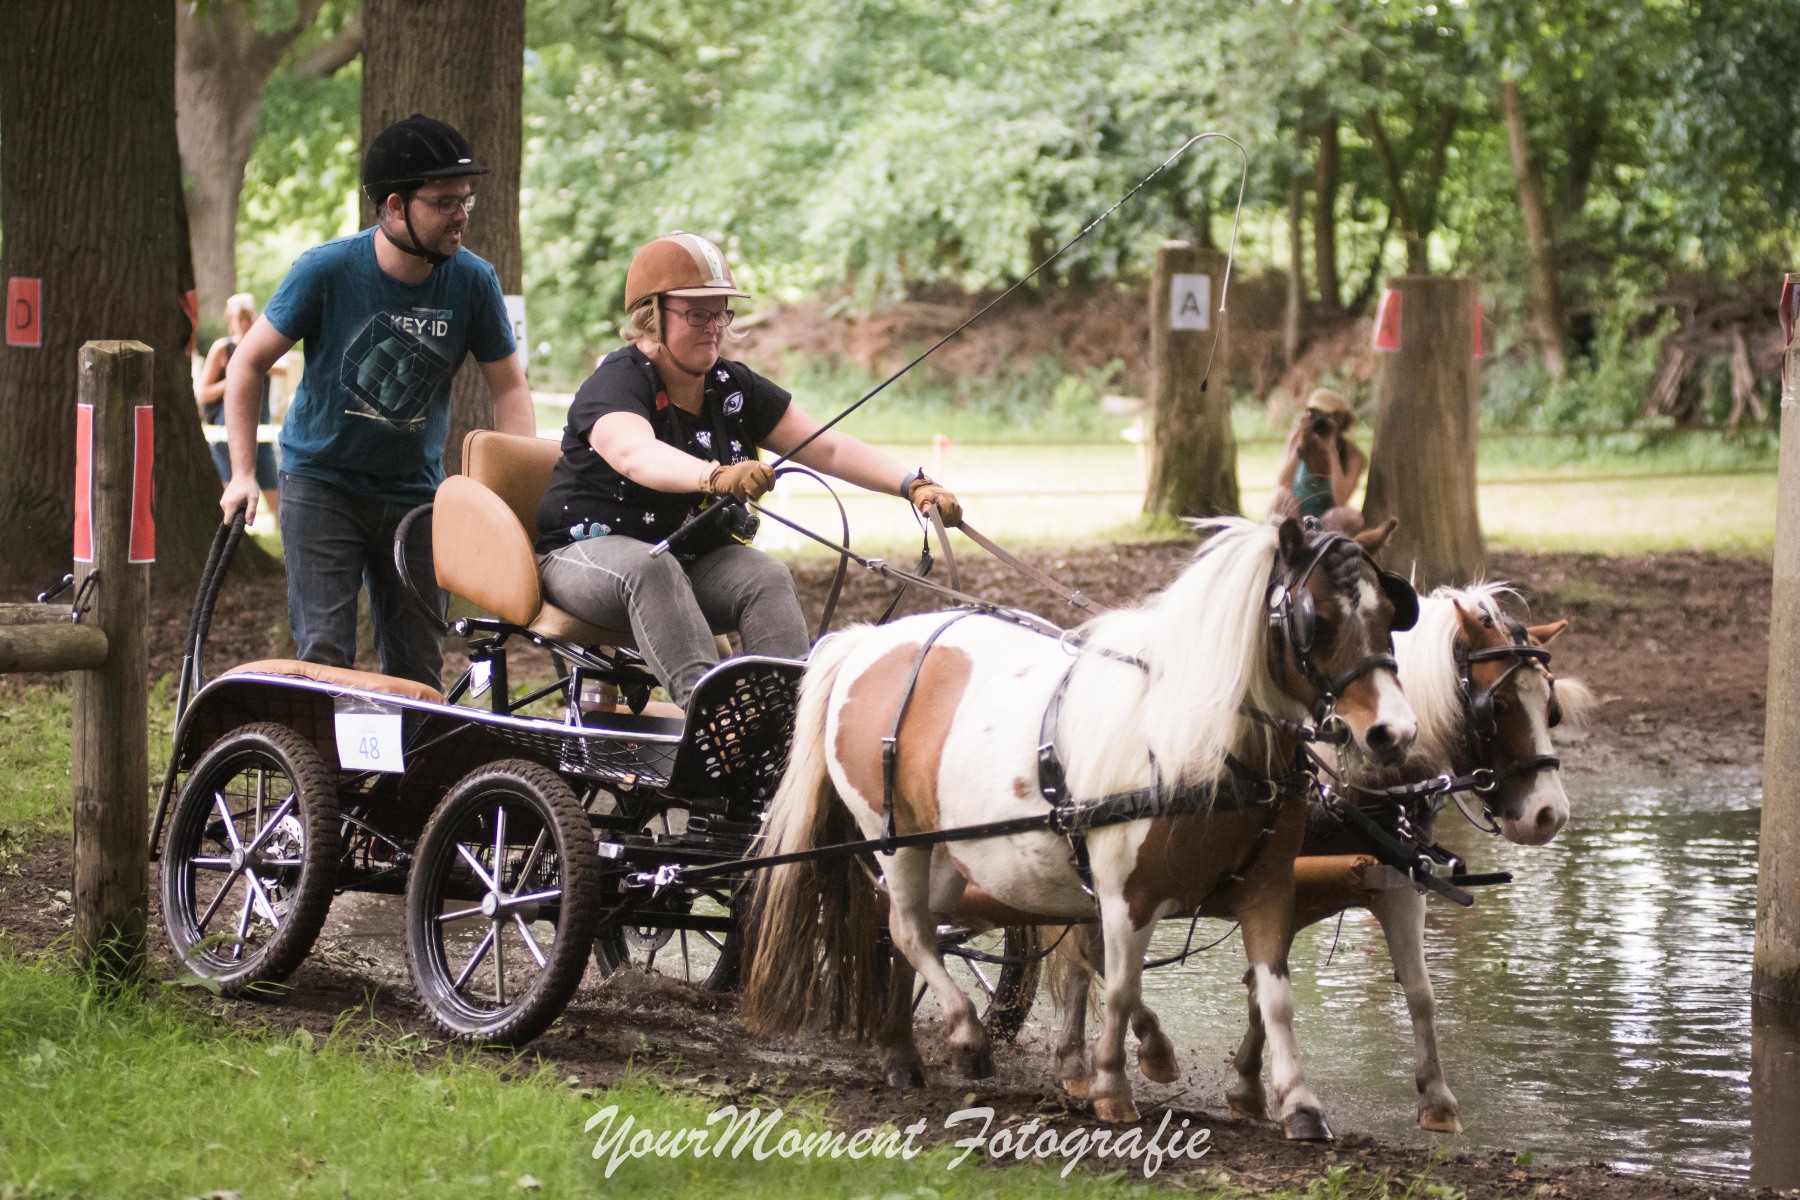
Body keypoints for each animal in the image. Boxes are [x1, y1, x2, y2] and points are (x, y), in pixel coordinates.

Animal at [741, 516, 1420, 1138]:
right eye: (1317, 619)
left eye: (1392, 612)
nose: (1394, 732)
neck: (1202, 742)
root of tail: (864, 643)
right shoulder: (1126, 894)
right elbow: (1116, 984)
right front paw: (1112, 1088)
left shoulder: (1268, 888)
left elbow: (1273, 994)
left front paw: (1299, 1104)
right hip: (892, 839)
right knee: (909, 931)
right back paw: (966, 1035)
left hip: (945, 854)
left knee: (912, 932)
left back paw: (902, 1052)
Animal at [1048, 582, 1594, 1134]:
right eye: (1496, 706)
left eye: (1552, 710)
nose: (1549, 815)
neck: (1345, 783)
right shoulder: (1281, 886)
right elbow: (1259, 988)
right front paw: (1253, 1088)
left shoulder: (1392, 885)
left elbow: (1417, 992)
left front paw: (1436, 1099)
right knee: (1094, 956)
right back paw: (1120, 1055)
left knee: (1088, 953)